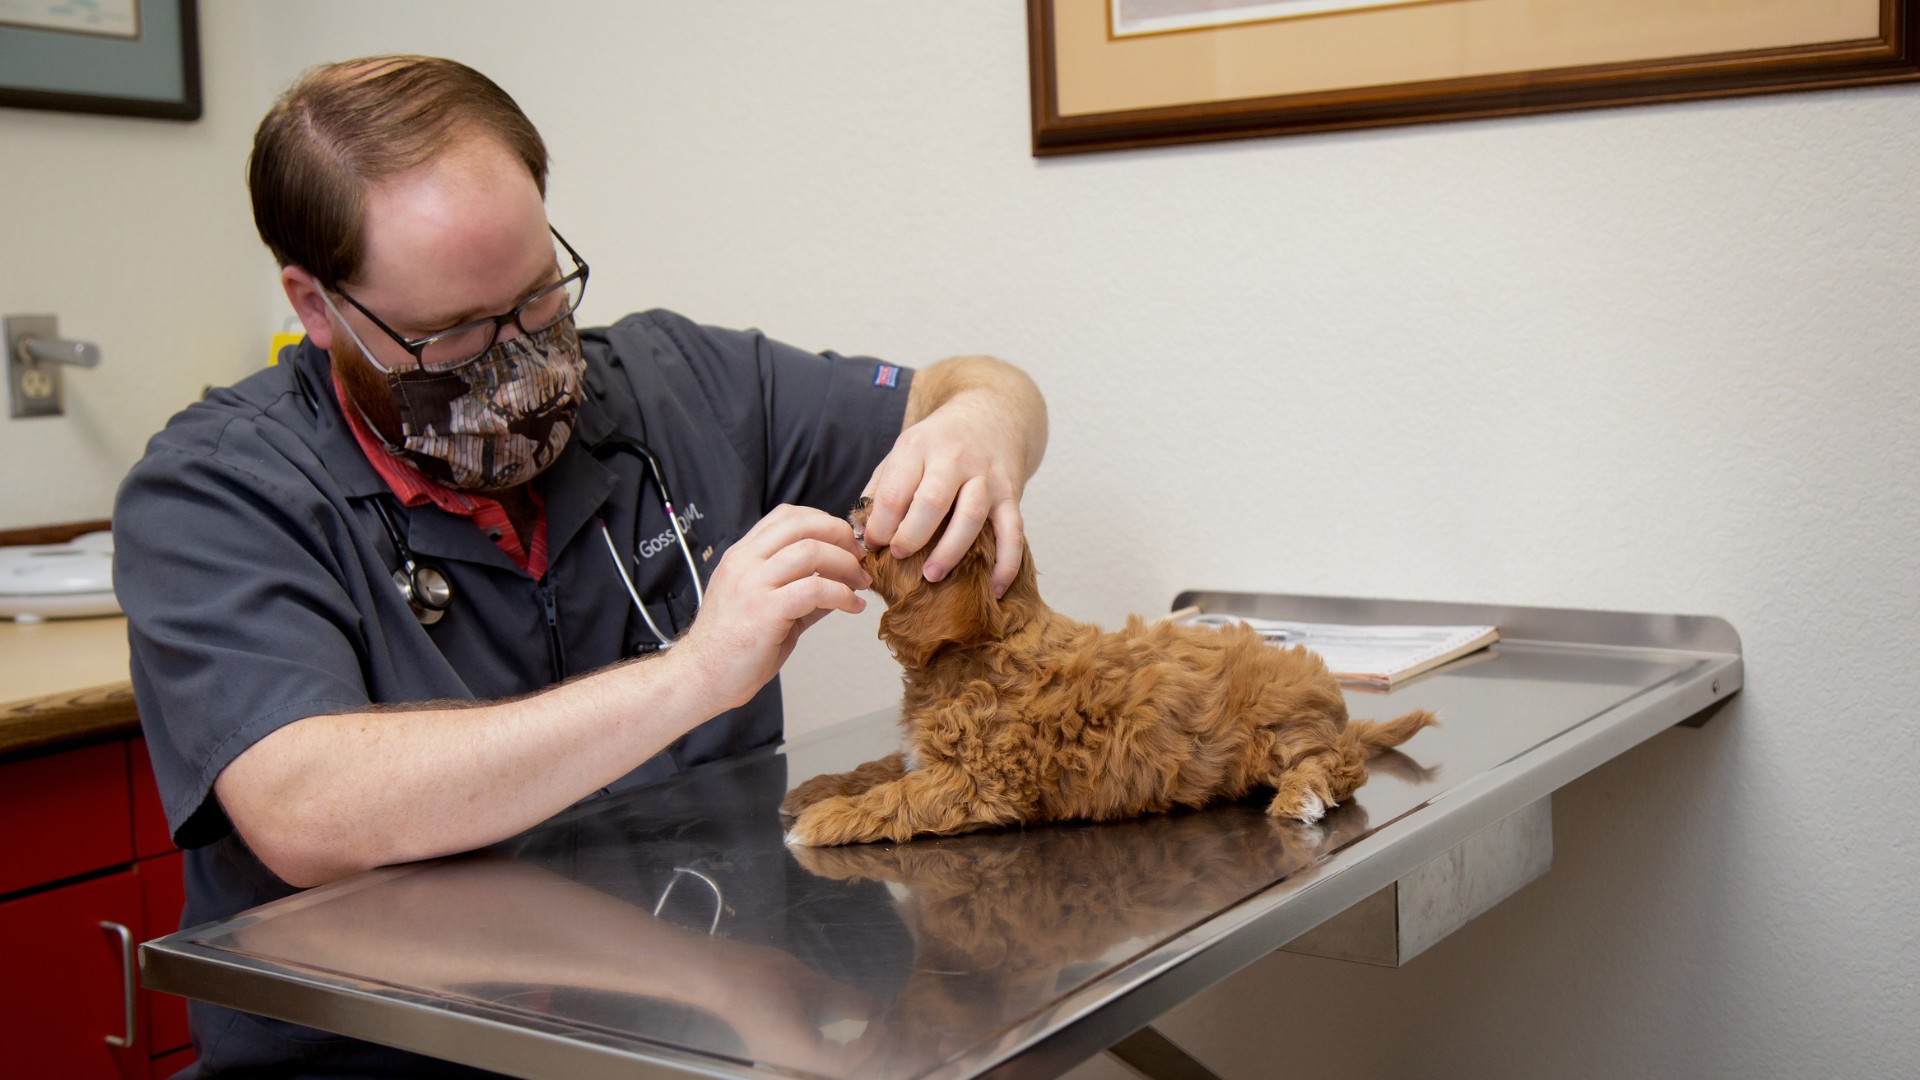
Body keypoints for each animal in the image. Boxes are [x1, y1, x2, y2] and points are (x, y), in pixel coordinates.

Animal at [771, 499, 1436, 845]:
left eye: (907, 514)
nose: (858, 501)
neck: (978, 651)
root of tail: (1335, 706)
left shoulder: (980, 782)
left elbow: (897, 796)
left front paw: (825, 818)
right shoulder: (931, 759)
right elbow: (882, 767)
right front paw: (818, 788)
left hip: (1281, 736)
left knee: (1338, 766)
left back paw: (1301, 797)